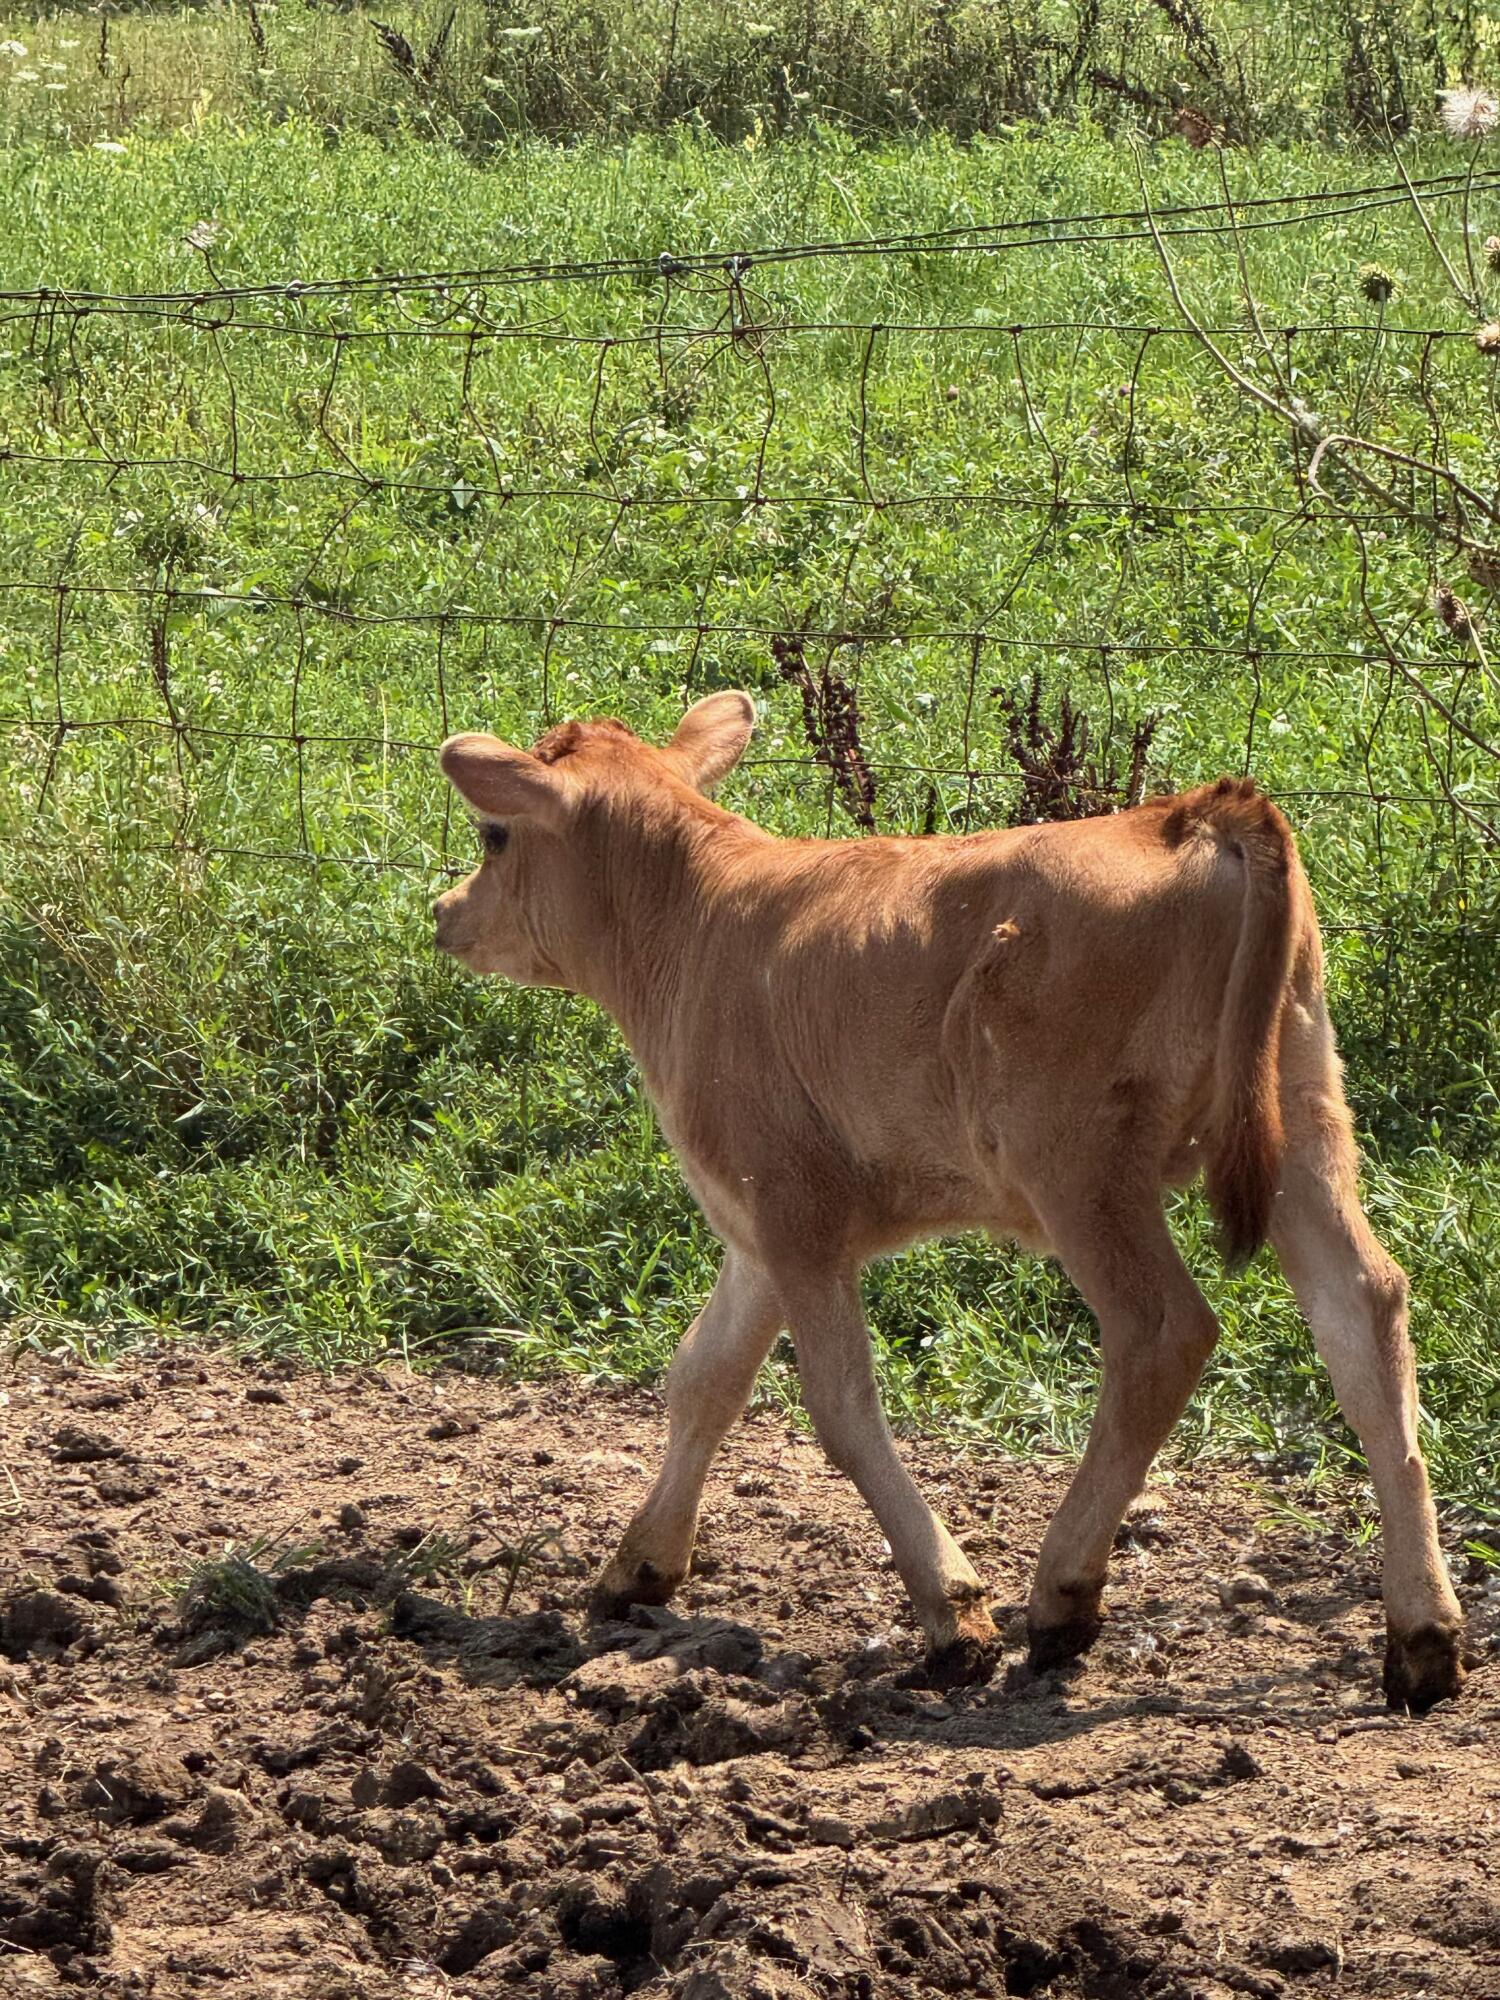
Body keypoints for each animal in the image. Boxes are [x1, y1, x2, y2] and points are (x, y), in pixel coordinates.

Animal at [432, 691, 1466, 1712]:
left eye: (493, 834)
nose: (444, 912)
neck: (696, 926)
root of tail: (1193, 813)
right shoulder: (757, 1223)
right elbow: (704, 1377)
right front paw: (639, 1567)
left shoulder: (796, 1213)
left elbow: (841, 1407)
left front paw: (950, 1610)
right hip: (1302, 1113)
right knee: (1364, 1309)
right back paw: (1422, 1634)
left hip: (1077, 1159)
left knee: (1162, 1331)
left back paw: (1062, 1594)